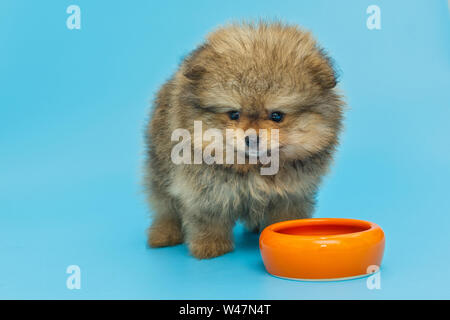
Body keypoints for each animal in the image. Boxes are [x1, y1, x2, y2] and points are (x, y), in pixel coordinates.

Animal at [144, 21, 344, 258]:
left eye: (277, 116)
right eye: (234, 114)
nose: (252, 139)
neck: (254, 167)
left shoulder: (292, 194)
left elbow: (285, 217)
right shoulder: (206, 193)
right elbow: (208, 219)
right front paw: (210, 246)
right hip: (159, 170)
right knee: (164, 206)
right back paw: (164, 234)